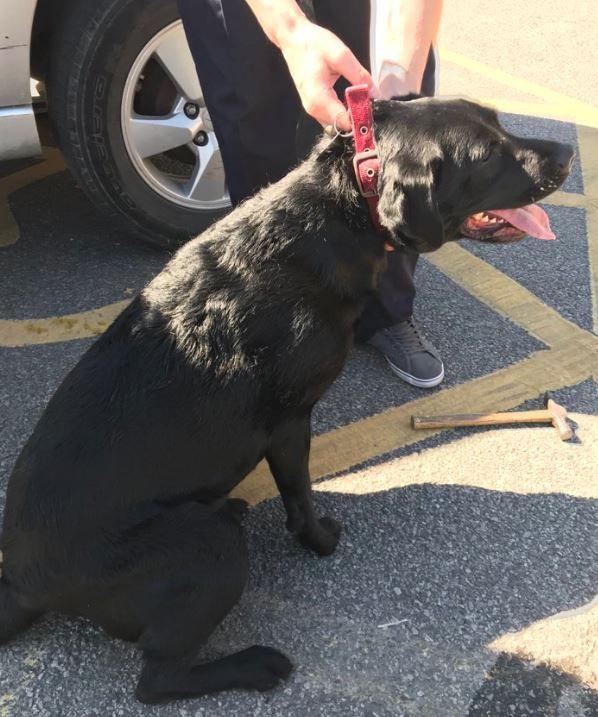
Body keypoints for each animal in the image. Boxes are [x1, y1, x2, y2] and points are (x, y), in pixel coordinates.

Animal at [0, 95, 576, 700]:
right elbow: (299, 493)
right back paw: (255, 664)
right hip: (210, 548)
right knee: (156, 680)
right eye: (486, 155)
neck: (342, 209)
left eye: (498, 120)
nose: (568, 153)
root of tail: (20, 580)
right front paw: (319, 539)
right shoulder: (290, 421)